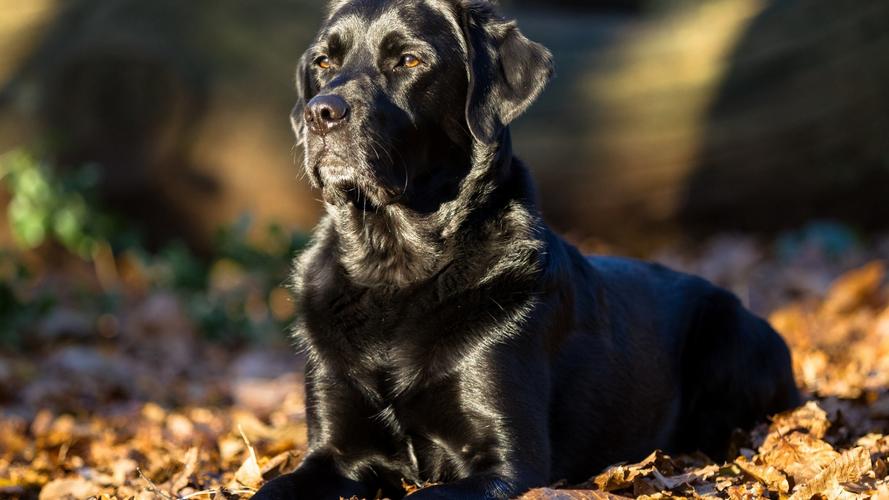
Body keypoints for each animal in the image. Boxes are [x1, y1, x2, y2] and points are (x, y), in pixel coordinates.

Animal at [250, 1, 796, 498]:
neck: (394, 268)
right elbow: (273, 489)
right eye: (324, 61)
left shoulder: (508, 463)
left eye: (408, 60)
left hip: (729, 335)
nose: (322, 112)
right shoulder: (333, 453)